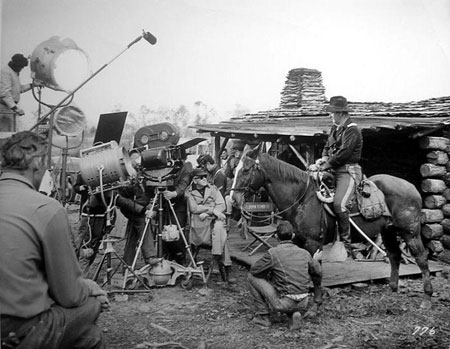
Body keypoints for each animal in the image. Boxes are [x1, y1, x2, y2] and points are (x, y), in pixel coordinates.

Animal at [232, 145, 432, 308]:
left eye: (247, 169)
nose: (233, 199)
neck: (302, 198)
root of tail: (412, 187)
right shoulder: (298, 242)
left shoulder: (313, 243)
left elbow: (316, 273)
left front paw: (317, 302)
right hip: (389, 231)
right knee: (395, 256)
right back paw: (393, 289)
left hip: (410, 231)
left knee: (421, 258)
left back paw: (427, 297)